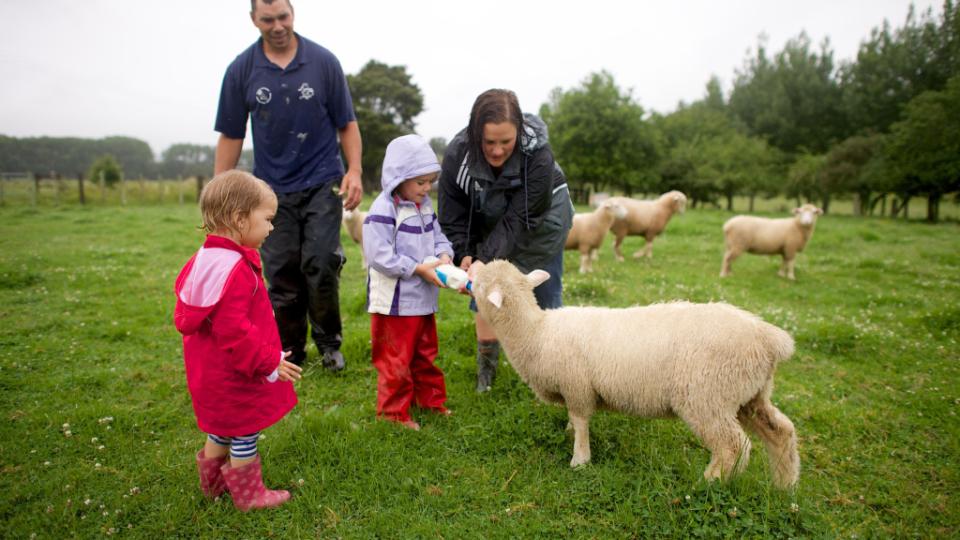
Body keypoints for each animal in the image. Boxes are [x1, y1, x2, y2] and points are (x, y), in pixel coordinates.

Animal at [468, 262, 800, 490]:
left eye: (480, 284)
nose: (472, 265)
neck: (536, 332)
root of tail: (769, 338)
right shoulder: (574, 388)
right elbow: (573, 420)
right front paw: (569, 434)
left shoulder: (577, 385)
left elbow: (581, 420)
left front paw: (580, 460)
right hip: (749, 394)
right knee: (781, 431)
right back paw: (785, 485)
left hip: (707, 396)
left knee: (733, 445)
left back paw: (709, 482)